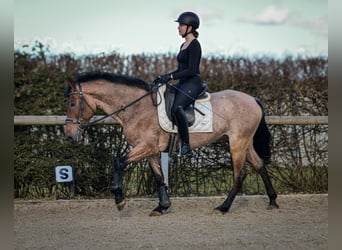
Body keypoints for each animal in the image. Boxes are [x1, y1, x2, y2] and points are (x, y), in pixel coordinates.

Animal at [64, 71, 278, 216]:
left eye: (72, 104)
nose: (69, 136)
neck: (137, 107)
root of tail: (253, 99)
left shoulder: (145, 146)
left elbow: (119, 162)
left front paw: (119, 198)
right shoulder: (150, 150)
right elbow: (159, 177)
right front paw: (162, 207)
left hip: (237, 143)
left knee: (240, 174)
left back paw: (223, 208)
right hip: (245, 142)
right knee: (259, 165)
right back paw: (273, 201)